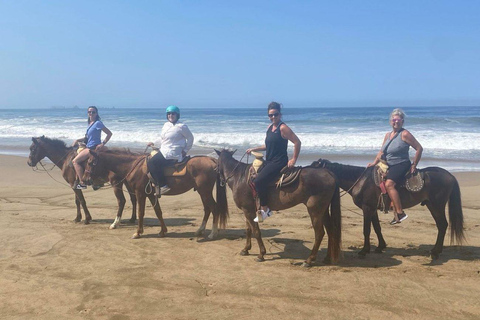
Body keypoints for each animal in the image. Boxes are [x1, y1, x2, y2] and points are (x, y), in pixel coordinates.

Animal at [82, 149, 229, 239]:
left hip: (204, 191)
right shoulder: (150, 195)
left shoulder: (140, 193)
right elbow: (158, 211)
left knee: (214, 208)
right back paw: (200, 230)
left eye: (90, 162)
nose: (84, 179)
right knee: (207, 209)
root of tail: (213, 160)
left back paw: (213, 233)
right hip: (202, 192)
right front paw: (163, 231)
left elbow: (141, 213)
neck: (134, 166)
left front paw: (138, 232)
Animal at [214, 149, 342, 266]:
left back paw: (309, 260)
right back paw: (327, 258)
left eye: (217, 162)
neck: (238, 176)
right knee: (331, 230)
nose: (215, 170)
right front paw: (245, 249)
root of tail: (329, 173)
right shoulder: (248, 210)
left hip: (315, 210)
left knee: (319, 233)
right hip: (323, 211)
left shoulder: (248, 211)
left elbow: (256, 231)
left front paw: (261, 254)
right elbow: (248, 230)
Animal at [312, 159, 464, 262]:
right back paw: (435, 250)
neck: (361, 181)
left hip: (436, 206)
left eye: (313, 168)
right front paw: (380, 246)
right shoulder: (372, 209)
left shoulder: (367, 209)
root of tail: (450, 176)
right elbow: (377, 228)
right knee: (441, 225)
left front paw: (364, 251)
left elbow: (366, 230)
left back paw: (436, 252)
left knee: (442, 225)